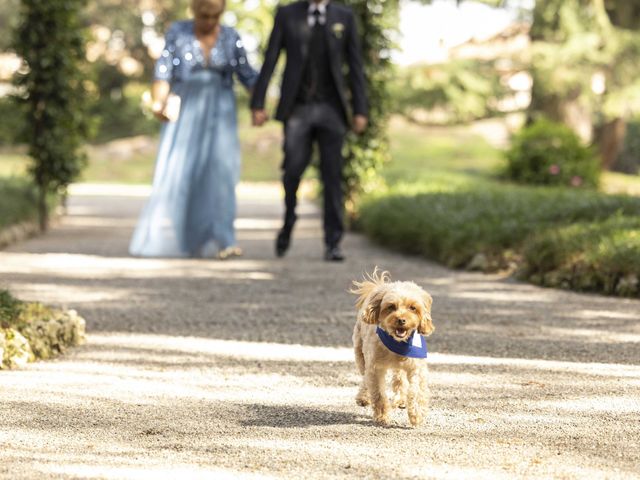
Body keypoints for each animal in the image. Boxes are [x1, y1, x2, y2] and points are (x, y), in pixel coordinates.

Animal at [350, 268, 436, 426]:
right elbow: (378, 393)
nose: (401, 320)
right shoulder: (375, 368)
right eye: (391, 307)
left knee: (399, 379)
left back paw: (401, 399)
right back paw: (363, 397)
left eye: (413, 308)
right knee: (365, 378)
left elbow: (416, 391)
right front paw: (382, 416)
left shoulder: (416, 367)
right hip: (360, 355)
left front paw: (416, 414)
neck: (397, 343)